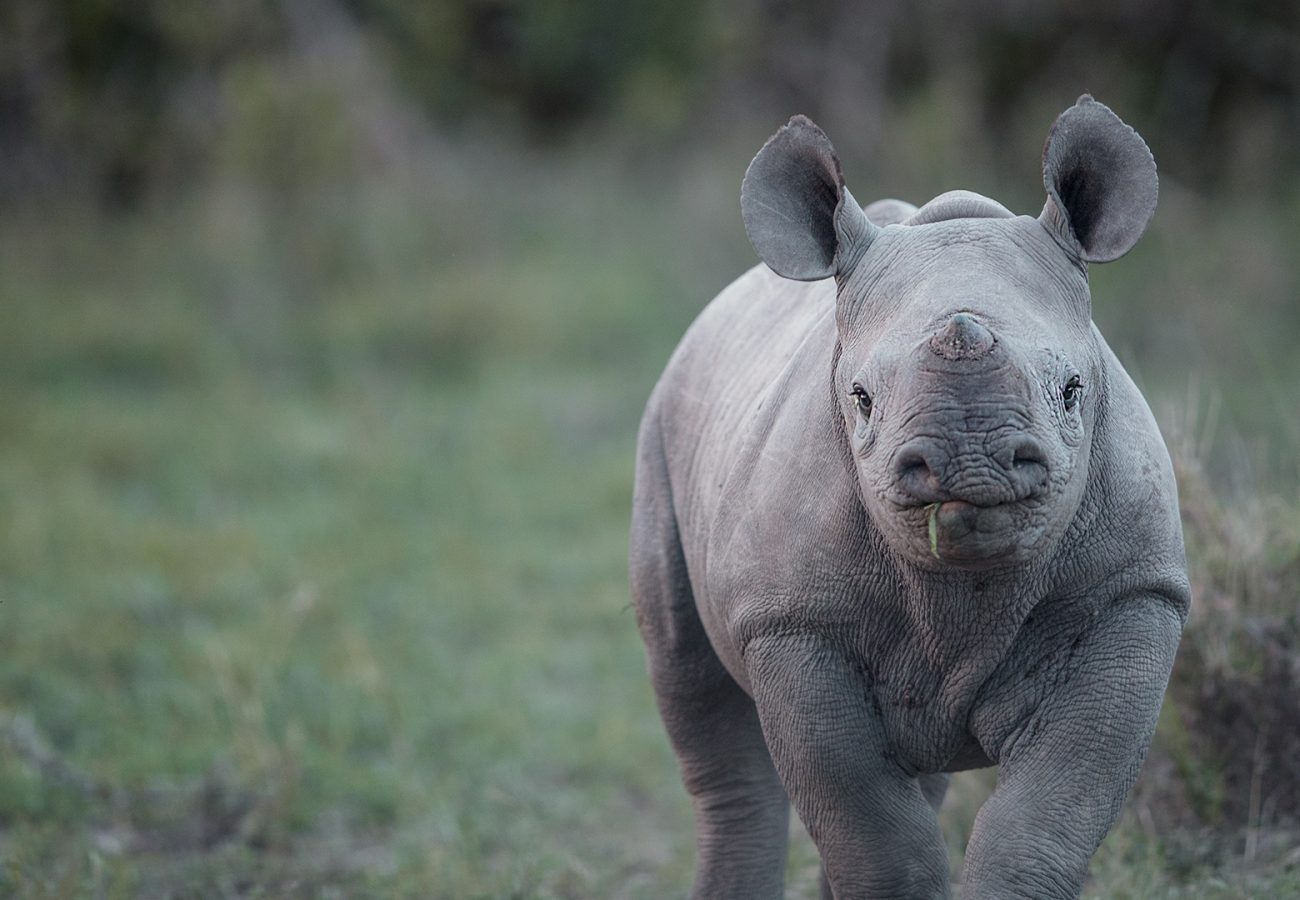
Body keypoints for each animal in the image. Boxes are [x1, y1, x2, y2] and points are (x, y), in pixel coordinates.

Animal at [629, 94, 1190, 894]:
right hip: (664, 424)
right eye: (861, 398)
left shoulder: (1133, 591)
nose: (971, 462)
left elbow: (1046, 819)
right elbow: (871, 830)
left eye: (1073, 390)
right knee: (702, 706)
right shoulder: (790, 622)